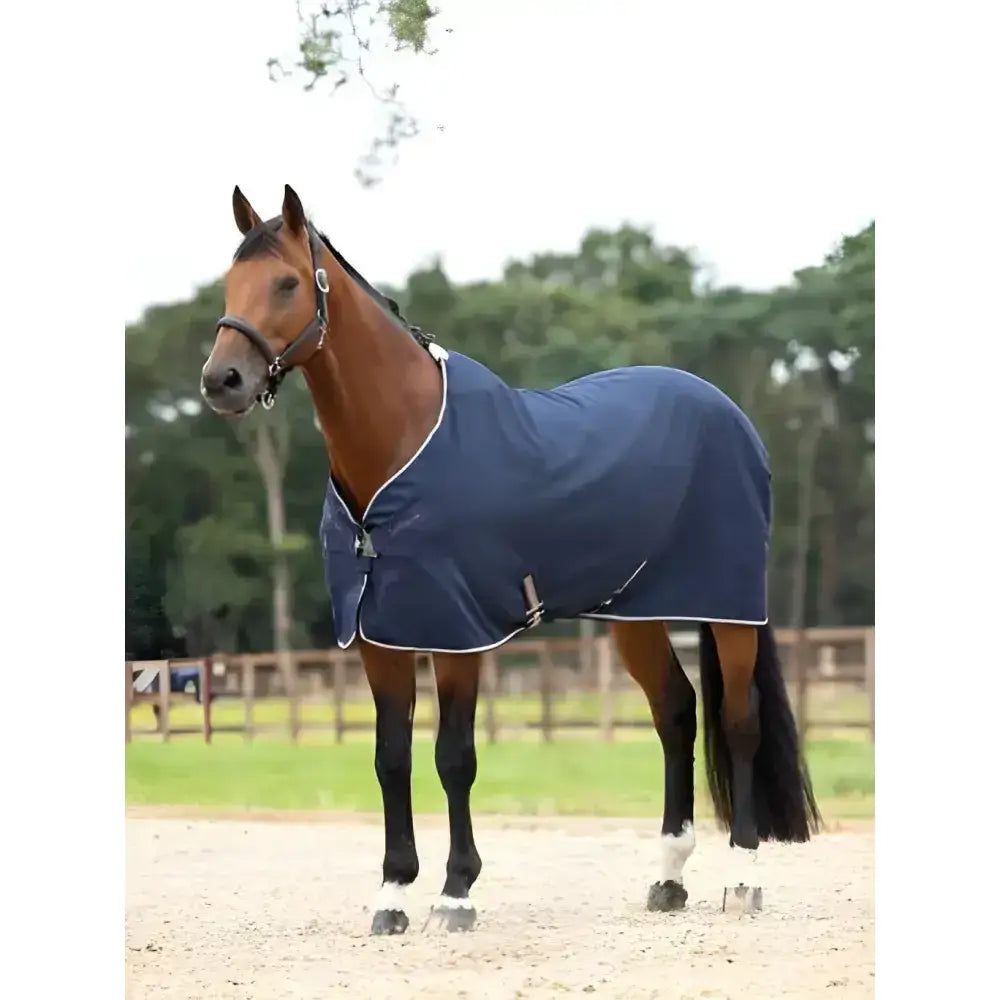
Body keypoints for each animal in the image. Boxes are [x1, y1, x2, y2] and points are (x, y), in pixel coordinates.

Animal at [201, 184, 820, 934]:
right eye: (230, 282)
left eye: (288, 283)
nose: (222, 380)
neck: (401, 445)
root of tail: (727, 410)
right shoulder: (380, 635)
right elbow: (391, 758)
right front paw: (392, 893)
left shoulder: (456, 633)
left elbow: (454, 758)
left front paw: (455, 893)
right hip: (637, 614)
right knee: (676, 712)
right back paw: (668, 876)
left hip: (727, 606)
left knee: (738, 720)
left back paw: (743, 877)